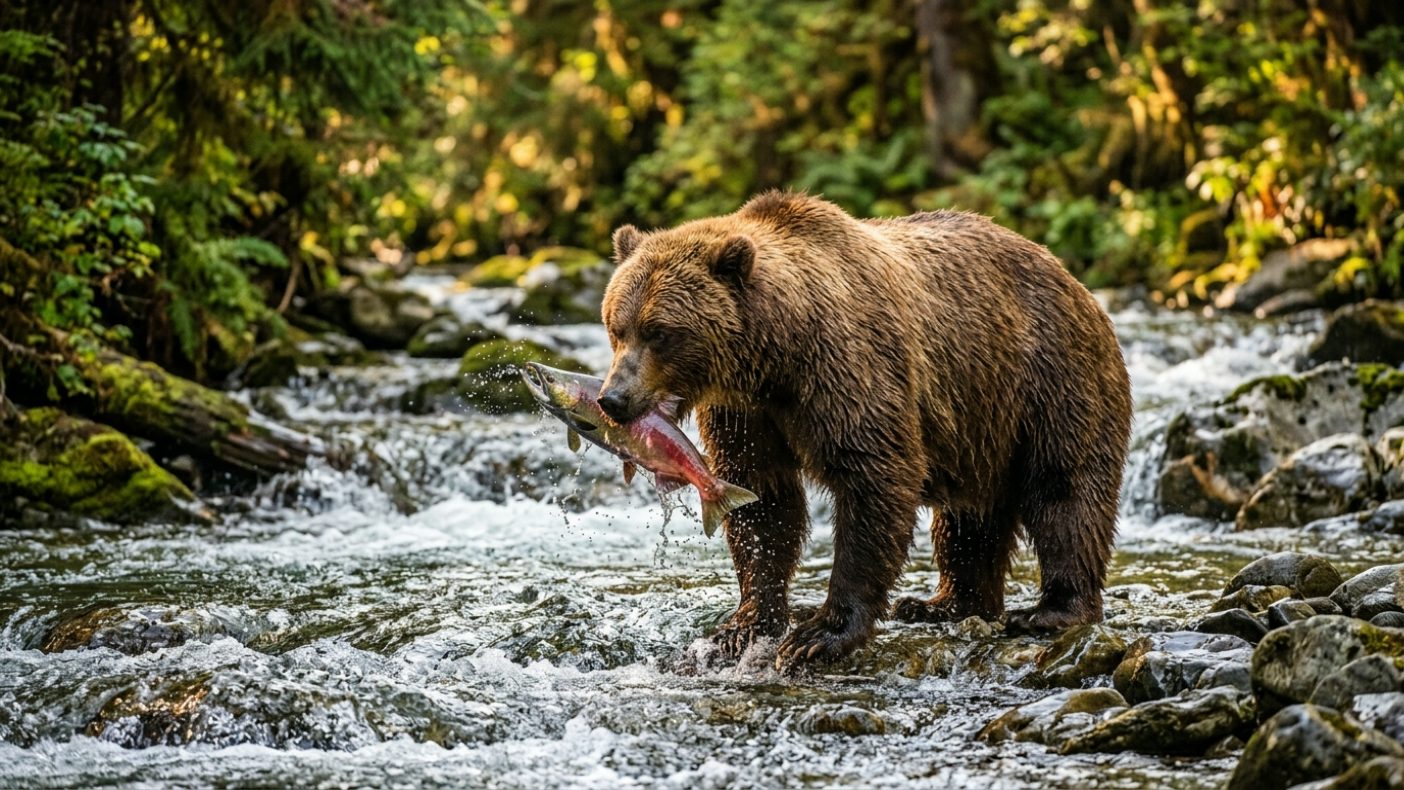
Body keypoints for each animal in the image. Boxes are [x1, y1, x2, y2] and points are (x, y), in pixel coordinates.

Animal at [596, 191, 1132, 671]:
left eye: (659, 331)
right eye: (616, 327)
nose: (612, 398)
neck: (775, 358)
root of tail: (1074, 280)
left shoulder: (848, 368)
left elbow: (873, 478)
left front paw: (820, 634)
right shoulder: (745, 413)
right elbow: (762, 500)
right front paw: (741, 626)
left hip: (1048, 380)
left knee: (1064, 490)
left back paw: (1051, 610)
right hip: (979, 424)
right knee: (967, 519)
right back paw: (940, 604)